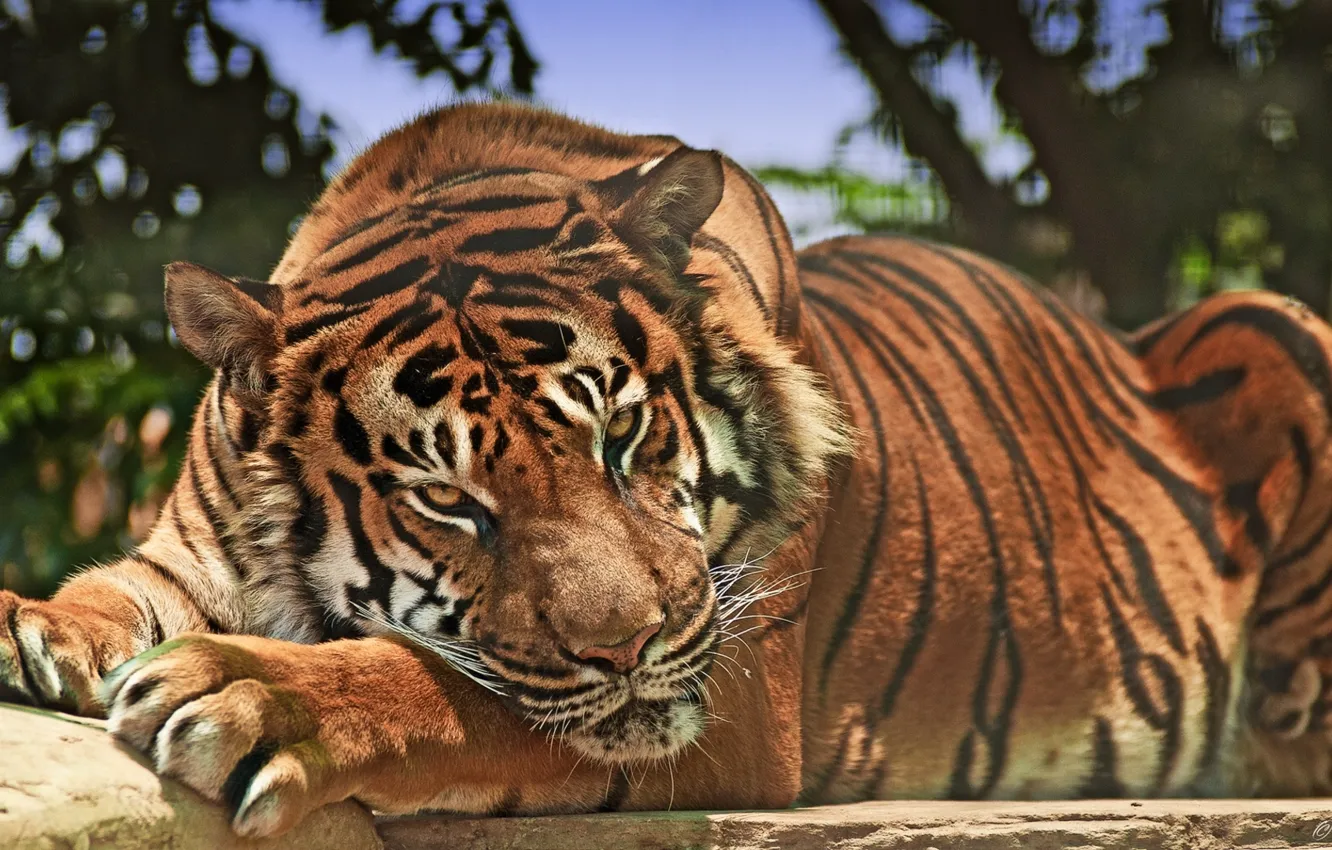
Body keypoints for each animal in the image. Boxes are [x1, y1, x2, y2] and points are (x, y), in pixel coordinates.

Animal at [3, 101, 1332, 838]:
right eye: (447, 500)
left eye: (624, 437)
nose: (627, 645)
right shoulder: (187, 548)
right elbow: (112, 589)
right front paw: (33, 627)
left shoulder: (729, 681)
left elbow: (454, 686)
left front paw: (243, 692)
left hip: (1276, 325)